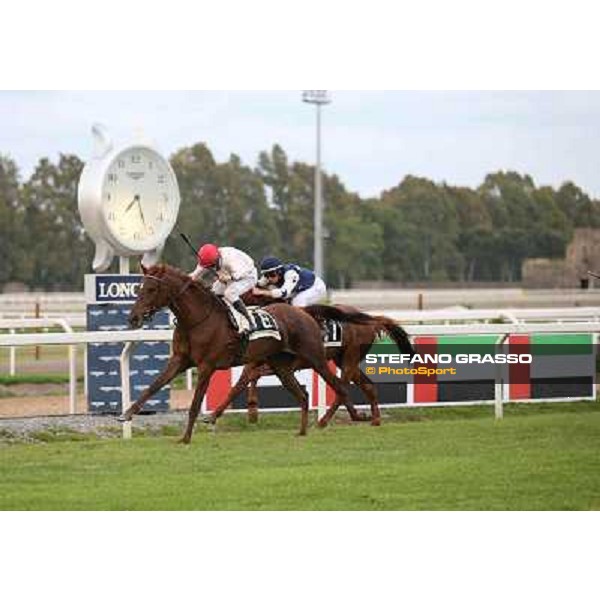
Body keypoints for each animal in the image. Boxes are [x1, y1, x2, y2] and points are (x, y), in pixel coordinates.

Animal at [121, 264, 356, 442]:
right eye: (139, 288)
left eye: (152, 289)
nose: (133, 318)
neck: (197, 319)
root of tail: (303, 312)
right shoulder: (179, 360)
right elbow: (153, 386)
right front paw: (127, 414)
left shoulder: (206, 366)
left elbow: (195, 404)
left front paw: (186, 438)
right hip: (281, 366)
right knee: (303, 395)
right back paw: (302, 431)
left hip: (315, 358)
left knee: (339, 387)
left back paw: (350, 418)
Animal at [204, 304, 414, 426]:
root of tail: (372, 320)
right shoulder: (259, 361)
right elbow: (239, 384)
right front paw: (215, 415)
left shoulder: (288, 364)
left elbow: (250, 377)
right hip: (343, 360)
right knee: (366, 386)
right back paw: (373, 418)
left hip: (349, 358)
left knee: (341, 388)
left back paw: (326, 420)